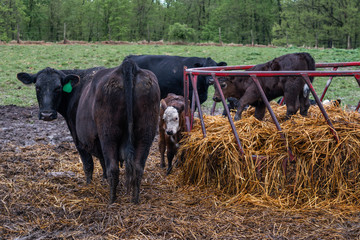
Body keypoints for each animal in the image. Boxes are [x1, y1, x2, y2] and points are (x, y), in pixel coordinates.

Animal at [16, 59, 160, 203]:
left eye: (58, 88)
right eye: (37, 87)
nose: (47, 114)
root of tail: (127, 66)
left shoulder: (78, 138)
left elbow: (88, 164)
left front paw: (88, 184)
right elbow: (102, 162)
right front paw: (103, 181)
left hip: (108, 135)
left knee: (113, 168)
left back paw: (112, 201)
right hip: (145, 134)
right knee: (138, 167)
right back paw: (135, 200)